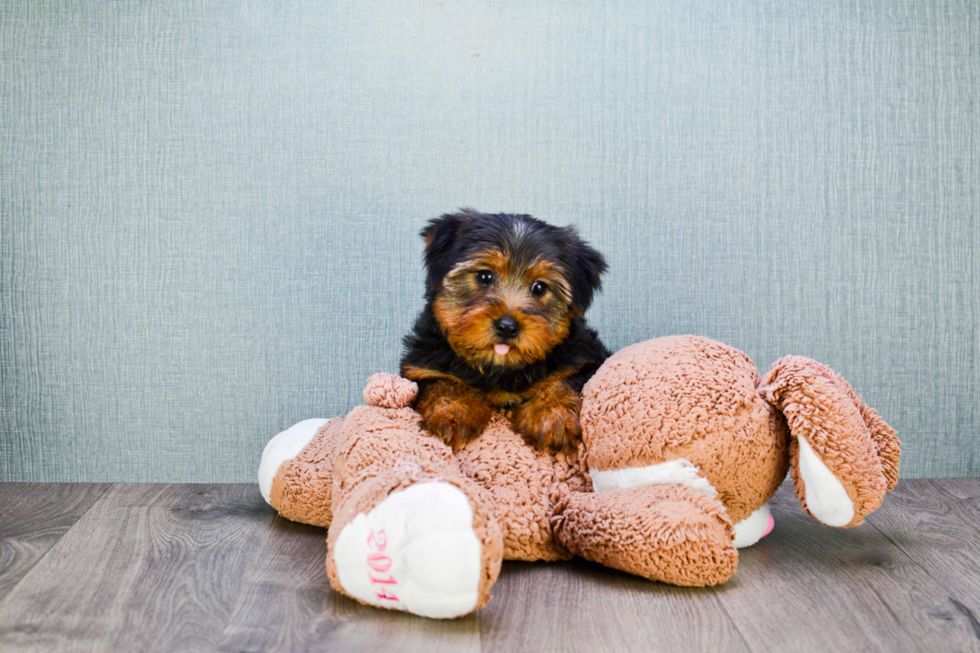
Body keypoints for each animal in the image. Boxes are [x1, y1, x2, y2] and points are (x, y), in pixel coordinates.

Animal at [396, 206, 608, 450]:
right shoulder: (420, 367)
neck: (500, 366)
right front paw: (454, 410)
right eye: (484, 276)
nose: (507, 327)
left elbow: (563, 381)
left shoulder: (584, 360)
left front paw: (551, 416)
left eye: (539, 287)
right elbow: (442, 382)